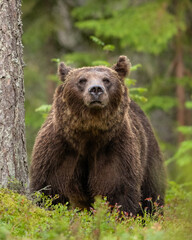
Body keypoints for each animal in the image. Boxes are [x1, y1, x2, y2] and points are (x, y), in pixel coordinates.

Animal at [29, 56, 166, 216]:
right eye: (82, 80)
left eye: (106, 80)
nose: (96, 89)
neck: (89, 134)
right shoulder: (60, 149)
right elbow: (50, 188)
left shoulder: (114, 148)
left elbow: (117, 190)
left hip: (149, 154)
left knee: (151, 195)